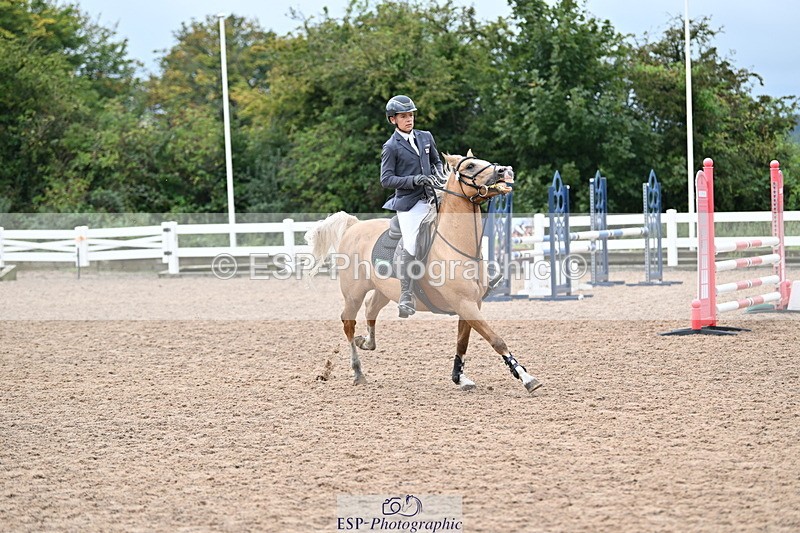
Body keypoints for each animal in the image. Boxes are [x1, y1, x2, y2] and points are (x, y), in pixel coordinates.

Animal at [304, 150, 542, 393]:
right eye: (470, 166)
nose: (505, 170)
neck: (457, 246)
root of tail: (354, 226)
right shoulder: (464, 303)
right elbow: (496, 340)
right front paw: (526, 377)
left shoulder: (471, 303)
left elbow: (462, 342)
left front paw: (459, 377)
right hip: (354, 293)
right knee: (348, 324)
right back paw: (358, 372)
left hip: (383, 290)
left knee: (371, 309)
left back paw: (366, 342)